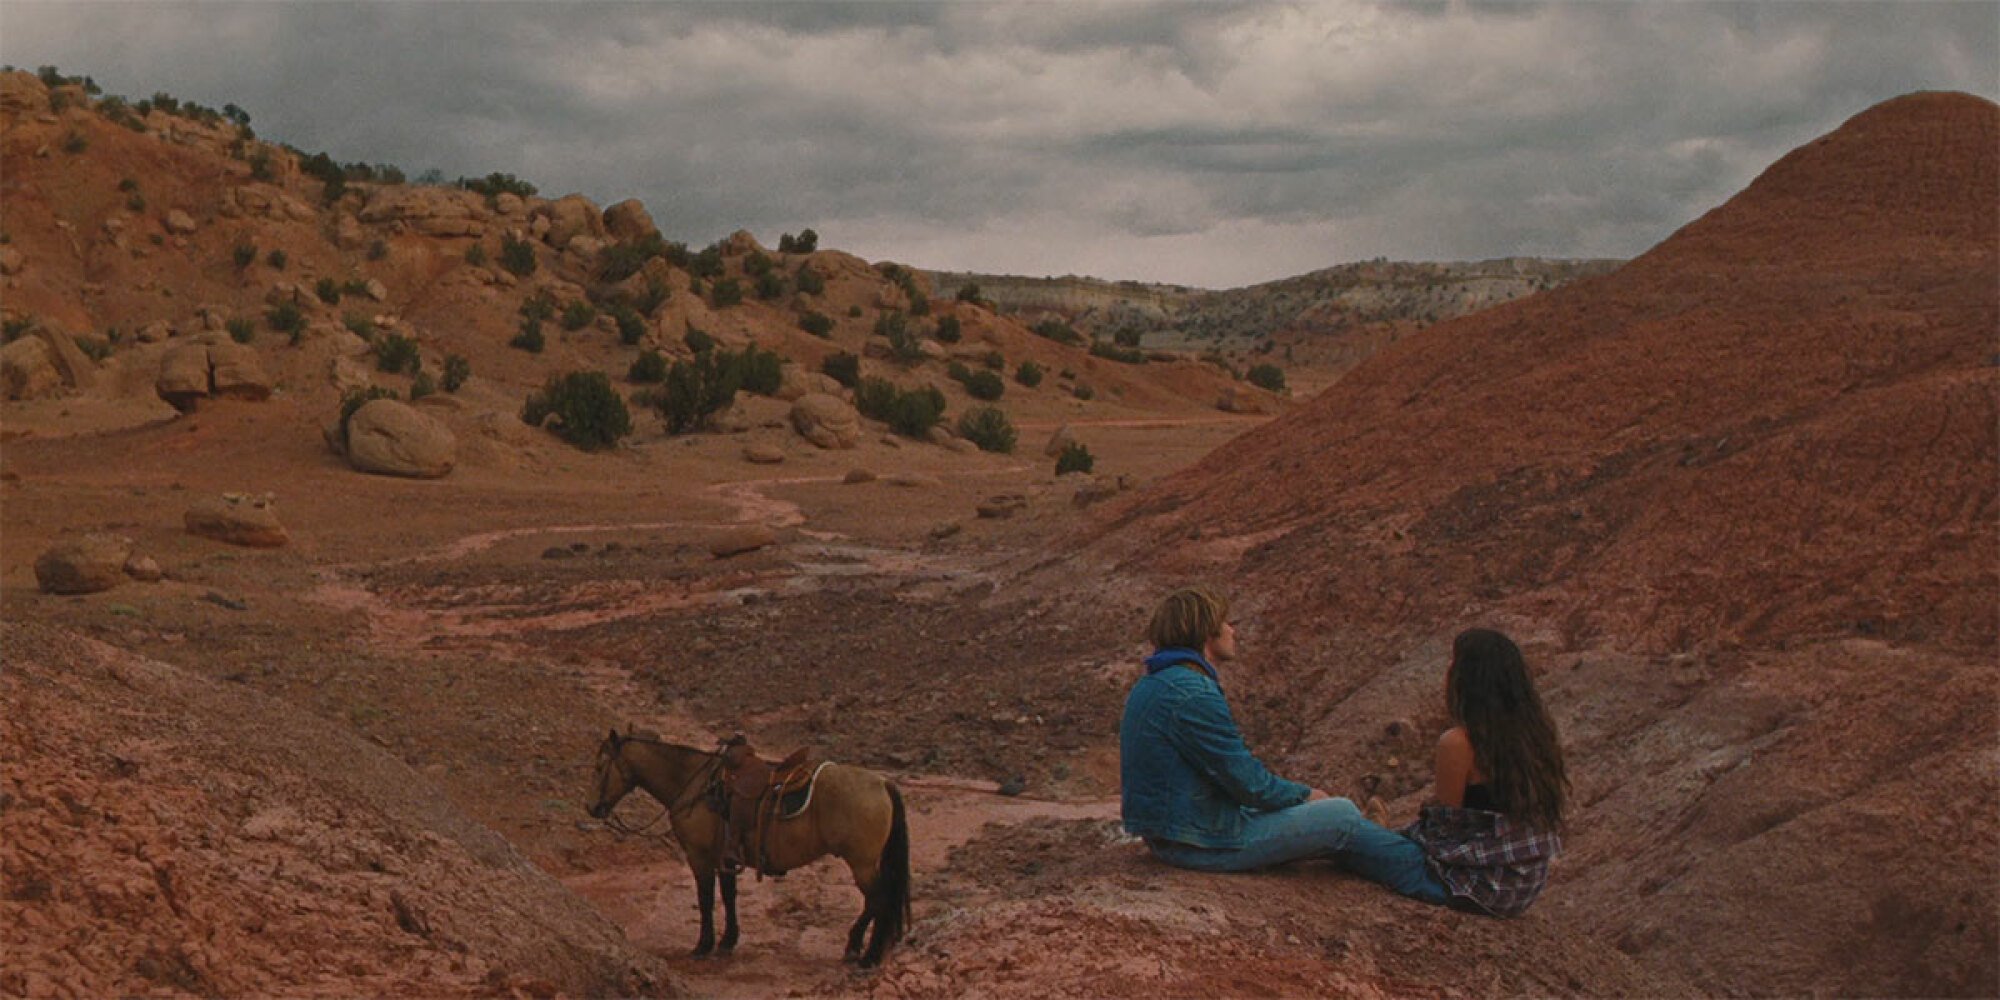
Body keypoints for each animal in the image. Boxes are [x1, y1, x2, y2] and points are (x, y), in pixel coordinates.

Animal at [584, 732, 916, 964]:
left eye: (600, 767)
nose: (591, 807)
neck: (694, 785)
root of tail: (882, 783)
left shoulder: (700, 857)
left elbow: (706, 899)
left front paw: (703, 945)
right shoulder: (725, 857)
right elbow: (729, 896)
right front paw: (728, 941)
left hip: (861, 862)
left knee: (879, 898)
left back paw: (868, 955)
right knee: (876, 900)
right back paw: (857, 946)